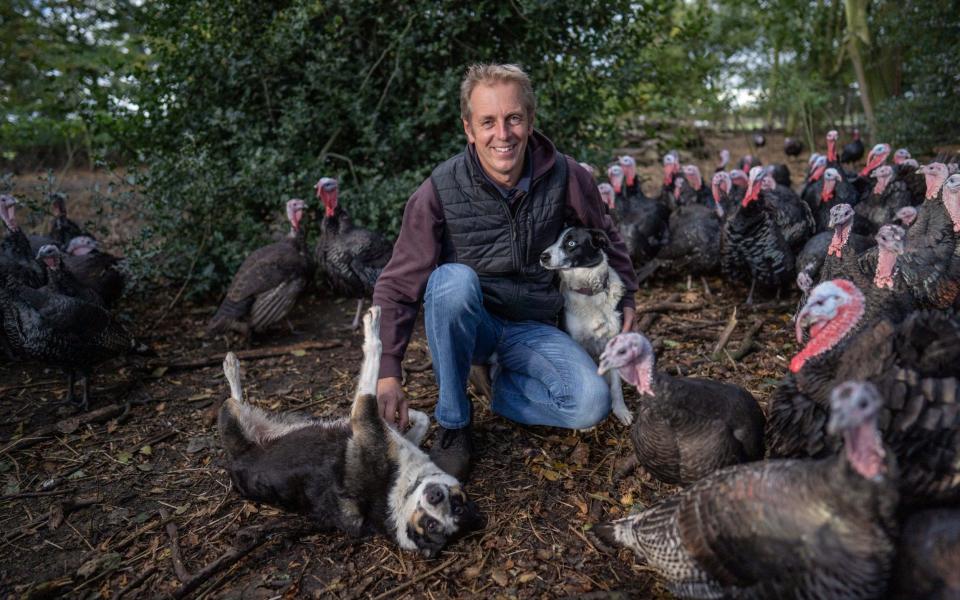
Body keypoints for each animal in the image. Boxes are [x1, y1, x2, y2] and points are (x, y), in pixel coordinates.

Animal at [220, 308, 484, 560]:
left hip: (232, 422)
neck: (399, 492)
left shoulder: (364, 420)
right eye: (458, 504)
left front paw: (373, 323)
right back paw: (232, 364)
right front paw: (404, 413)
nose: (436, 496)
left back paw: (231, 365)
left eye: (432, 524)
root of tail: (236, 459)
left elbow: (374, 354)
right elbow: (419, 419)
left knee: (232, 401)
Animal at [536, 226, 632, 426]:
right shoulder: (576, 339)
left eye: (571, 243)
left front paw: (621, 410)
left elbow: (617, 385)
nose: (543, 256)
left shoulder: (613, 341)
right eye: (555, 239)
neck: (590, 293)